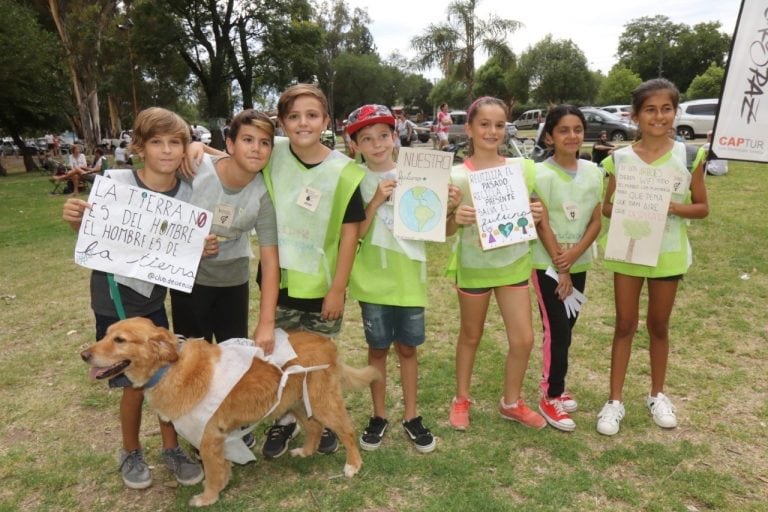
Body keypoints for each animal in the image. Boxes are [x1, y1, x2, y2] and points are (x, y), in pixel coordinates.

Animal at [80, 318, 378, 506]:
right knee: (315, 427)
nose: (84, 354)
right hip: (297, 403)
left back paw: (353, 465)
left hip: (321, 403)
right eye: (105, 334)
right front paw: (221, 484)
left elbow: (212, 472)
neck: (170, 367)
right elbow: (220, 467)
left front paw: (208, 498)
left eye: (120, 340)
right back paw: (305, 452)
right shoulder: (216, 438)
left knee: (347, 431)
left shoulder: (208, 435)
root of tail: (328, 343)